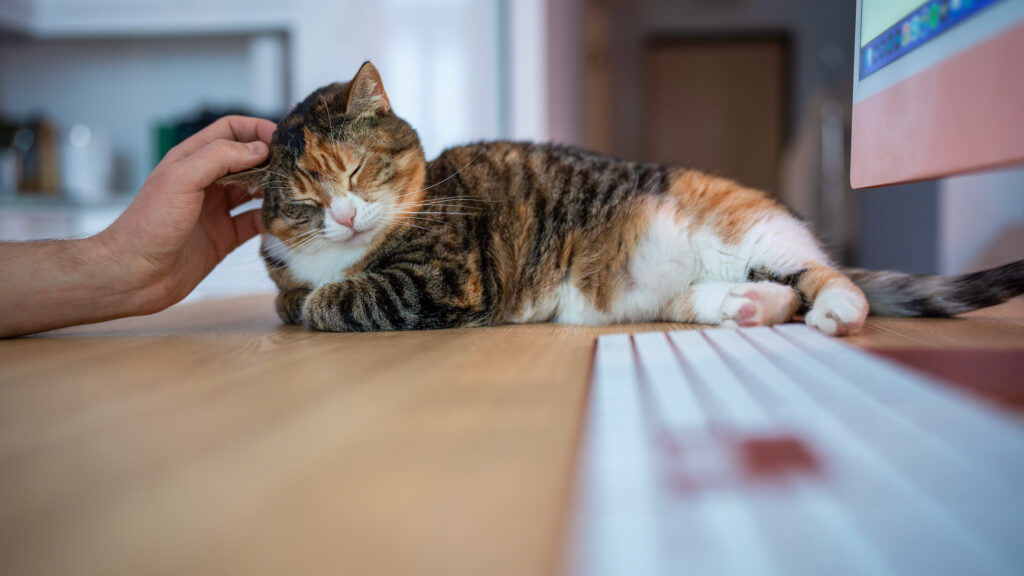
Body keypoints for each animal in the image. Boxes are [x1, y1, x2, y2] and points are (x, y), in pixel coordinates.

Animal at [220, 60, 1024, 334]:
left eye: (357, 172)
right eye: (304, 202)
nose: (345, 214)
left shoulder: (441, 275)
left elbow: (341, 299)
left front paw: (319, 300)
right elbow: (291, 296)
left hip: (741, 229)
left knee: (822, 277)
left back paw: (837, 311)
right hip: (681, 288)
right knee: (771, 294)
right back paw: (749, 308)